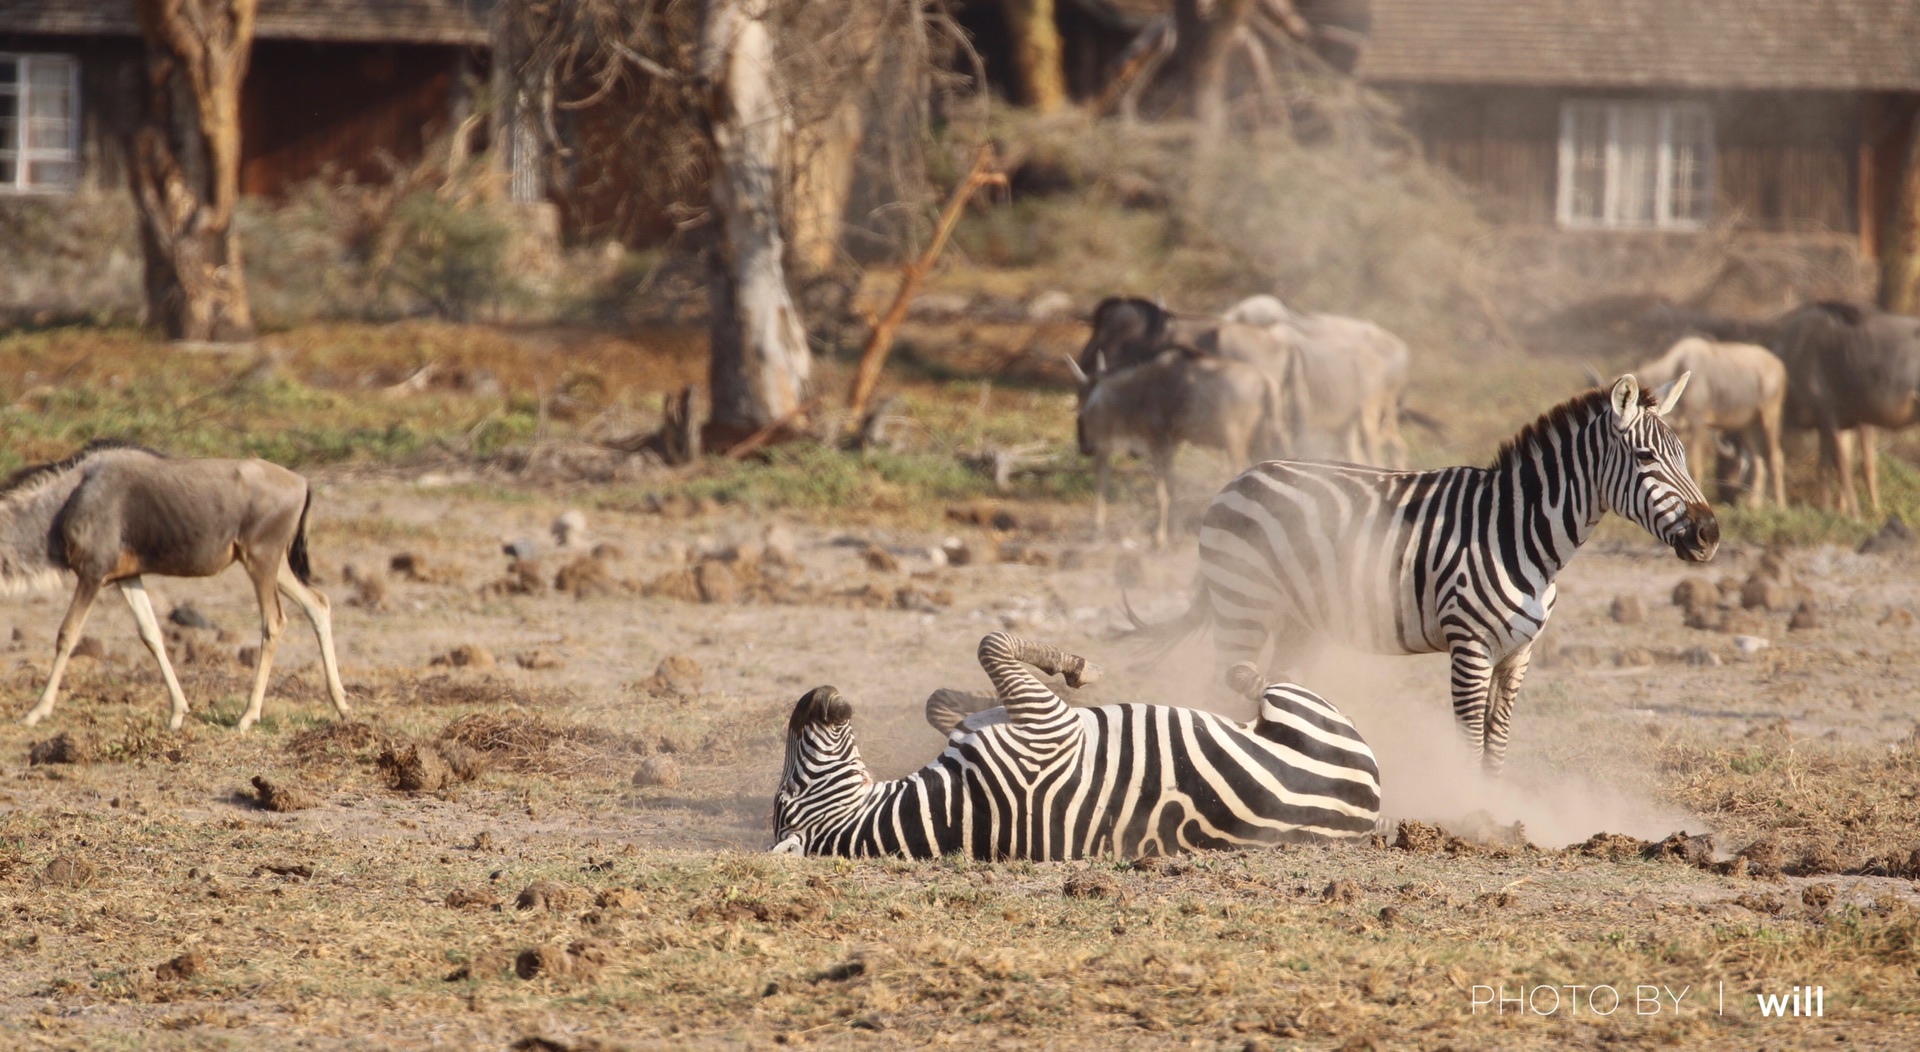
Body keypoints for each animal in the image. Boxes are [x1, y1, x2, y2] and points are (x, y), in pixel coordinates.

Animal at [771, 629, 1390, 860]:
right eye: (787, 797)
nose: (812, 697)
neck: (952, 812)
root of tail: (1367, 815)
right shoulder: (1046, 726)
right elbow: (992, 642)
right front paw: (1077, 667)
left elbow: (945, 701)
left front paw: (967, 701)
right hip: (1303, 708)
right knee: (1266, 688)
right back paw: (1243, 674)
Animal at [1128, 374, 1720, 767]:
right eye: (1646, 460)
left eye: (1684, 457)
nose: (1709, 534)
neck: (1520, 531)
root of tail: (1241, 478)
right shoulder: (1470, 648)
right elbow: (1467, 741)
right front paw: (1469, 815)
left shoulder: (1518, 656)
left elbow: (1496, 744)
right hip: (1243, 603)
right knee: (1218, 687)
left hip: (1300, 620)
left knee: (1278, 686)